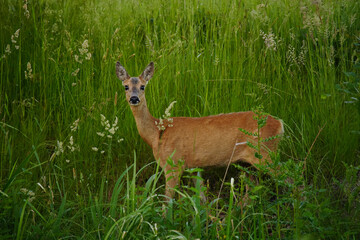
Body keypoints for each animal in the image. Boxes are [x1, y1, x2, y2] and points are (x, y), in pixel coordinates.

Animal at [115, 61, 284, 199]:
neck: (157, 133)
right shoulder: (192, 167)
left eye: (143, 86)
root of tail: (280, 124)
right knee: (253, 190)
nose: (134, 98)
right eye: (126, 86)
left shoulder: (173, 164)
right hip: (246, 163)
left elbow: (167, 202)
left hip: (266, 153)